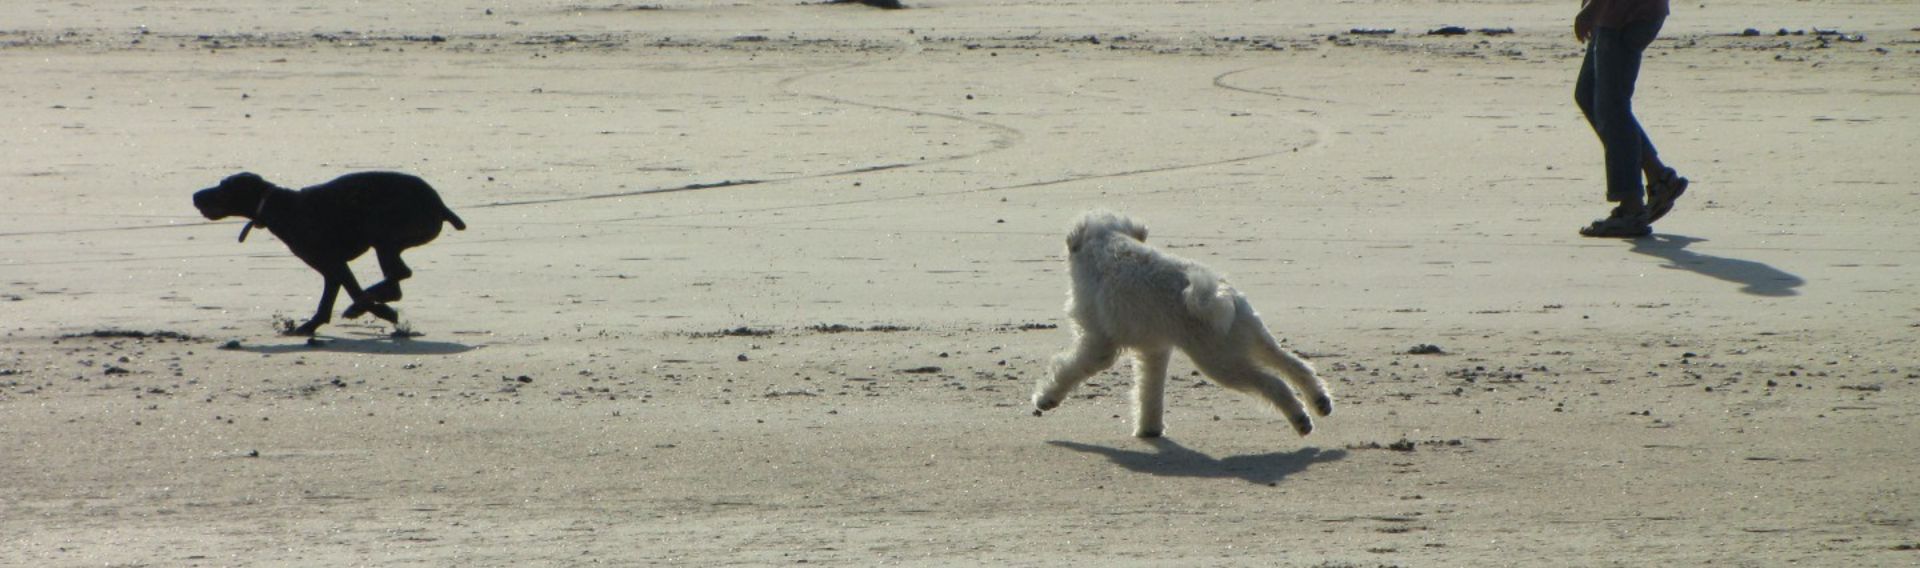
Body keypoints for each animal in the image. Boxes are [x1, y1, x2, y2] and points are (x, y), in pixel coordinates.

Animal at [191, 170, 468, 335]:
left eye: (223, 186)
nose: (195, 195)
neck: (278, 206)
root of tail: (440, 205)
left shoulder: (334, 262)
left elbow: (353, 291)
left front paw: (378, 311)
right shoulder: (330, 269)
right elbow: (327, 302)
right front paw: (309, 326)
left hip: (384, 237)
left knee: (398, 275)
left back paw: (364, 304)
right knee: (396, 279)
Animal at [1036, 211, 1336, 437]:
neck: (1107, 244)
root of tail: (1221, 294)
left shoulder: (1099, 343)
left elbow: (1070, 369)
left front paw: (1046, 398)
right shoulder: (1155, 349)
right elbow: (1149, 391)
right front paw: (1149, 428)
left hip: (1220, 361)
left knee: (1274, 383)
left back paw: (1300, 419)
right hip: (1251, 337)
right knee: (1293, 364)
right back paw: (1319, 401)